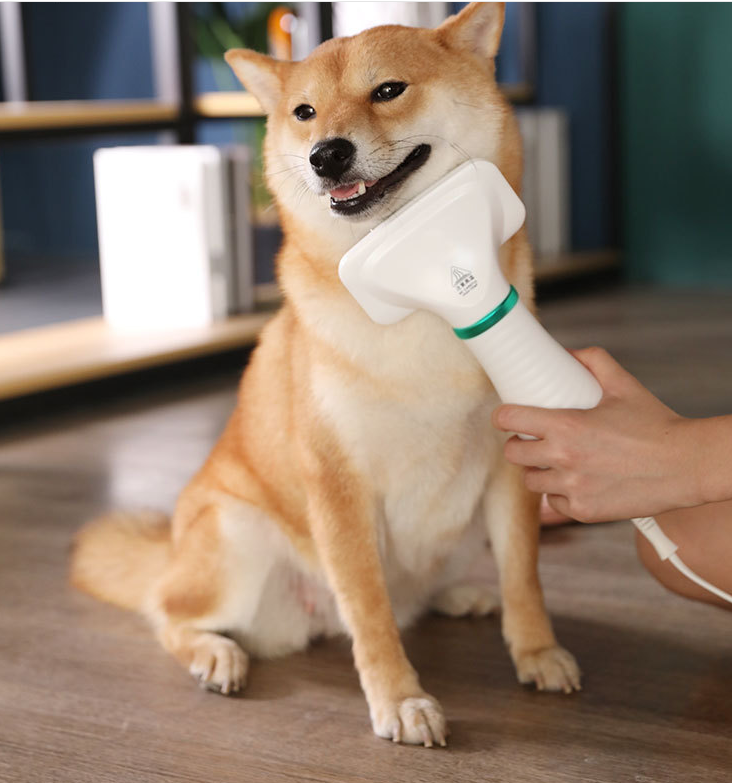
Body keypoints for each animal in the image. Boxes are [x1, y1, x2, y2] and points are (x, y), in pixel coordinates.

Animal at [71, 1, 580, 748]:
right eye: (305, 113)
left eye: (388, 91)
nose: (326, 154)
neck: (419, 312)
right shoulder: (338, 487)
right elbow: (369, 610)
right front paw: (400, 699)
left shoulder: (511, 464)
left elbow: (525, 576)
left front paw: (537, 650)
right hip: (236, 537)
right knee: (169, 612)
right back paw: (215, 654)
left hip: (456, 538)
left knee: (418, 597)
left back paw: (456, 595)